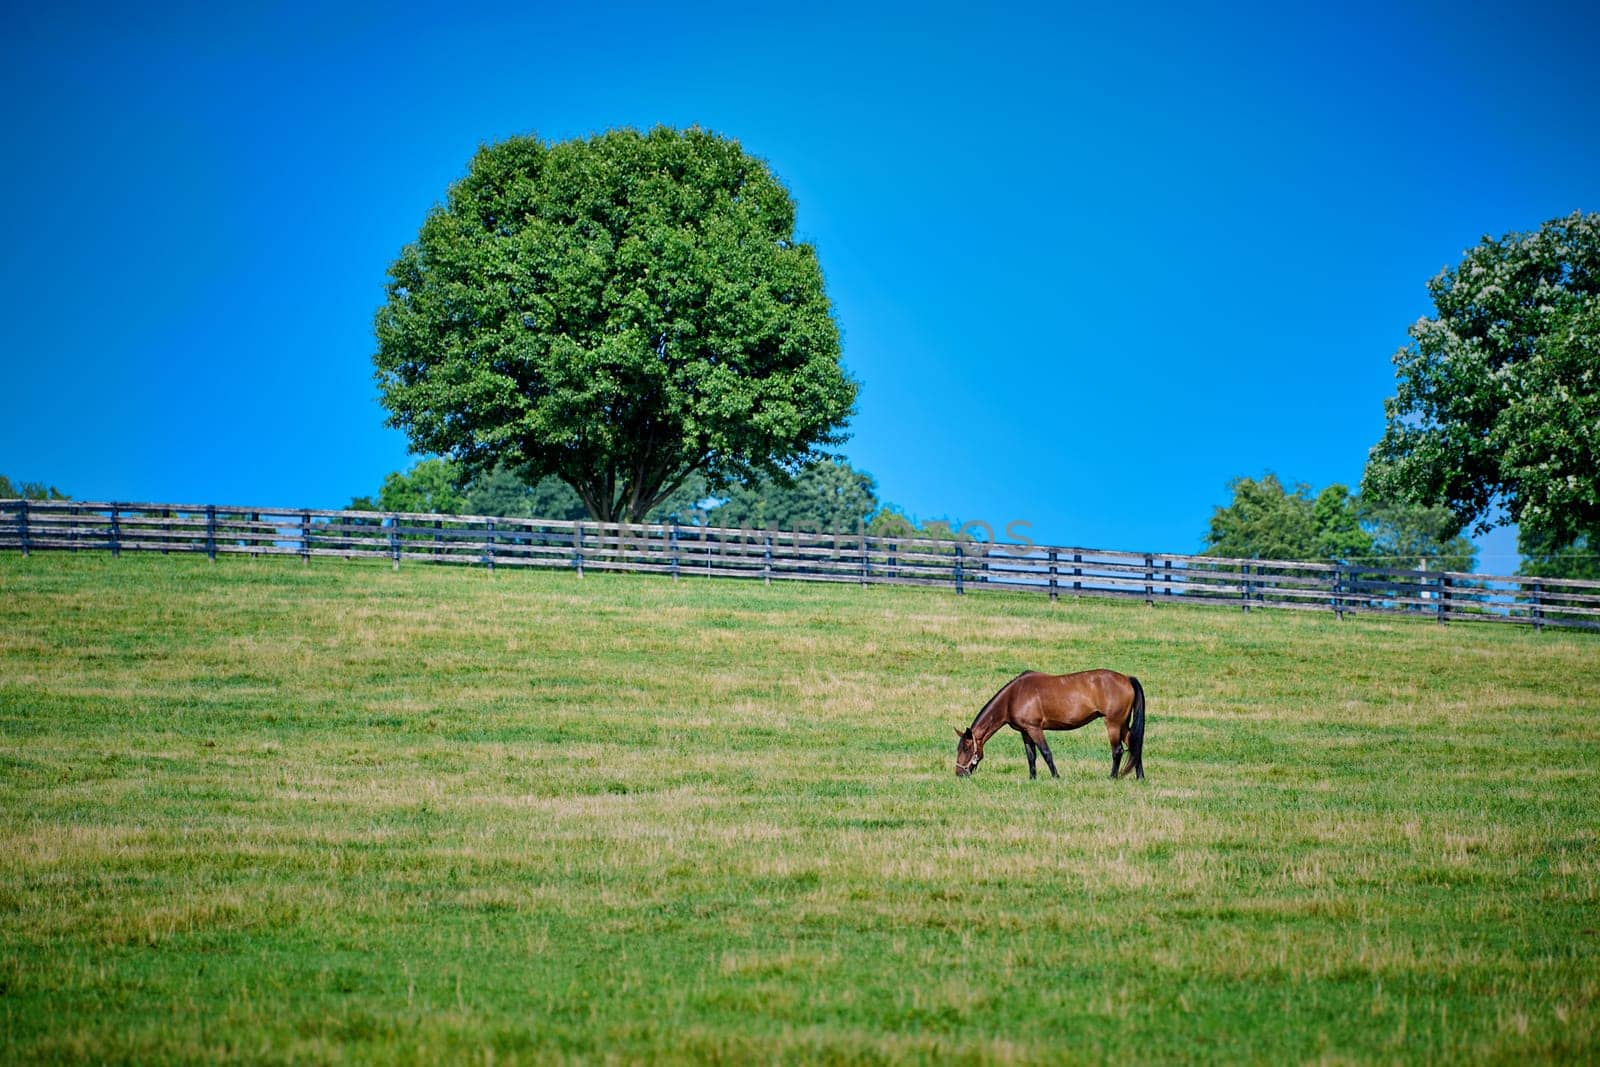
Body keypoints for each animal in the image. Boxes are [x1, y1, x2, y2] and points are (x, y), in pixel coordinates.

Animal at [953, 671, 1145, 780]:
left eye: (966, 748)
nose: (959, 774)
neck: (1013, 696)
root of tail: (1127, 679)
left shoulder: (1035, 729)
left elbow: (1046, 753)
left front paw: (1056, 777)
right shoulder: (1025, 732)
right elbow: (1031, 756)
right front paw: (1032, 778)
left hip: (1113, 724)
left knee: (1117, 751)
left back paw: (1112, 777)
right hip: (1123, 724)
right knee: (1135, 745)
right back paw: (1140, 777)